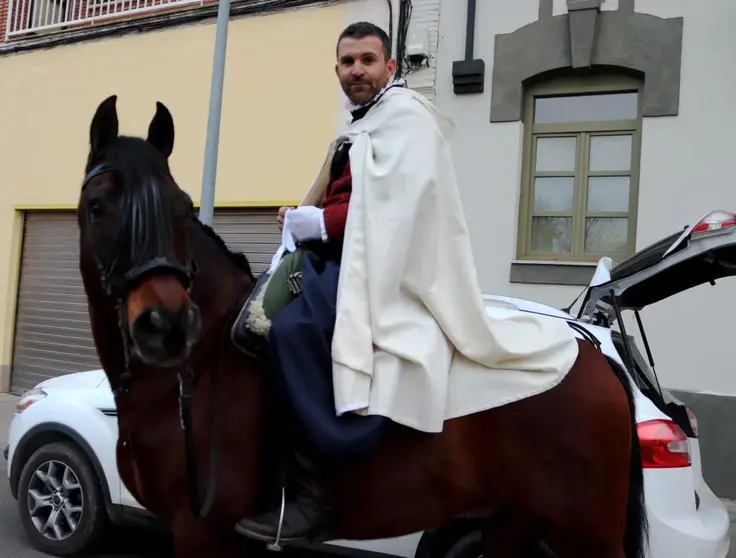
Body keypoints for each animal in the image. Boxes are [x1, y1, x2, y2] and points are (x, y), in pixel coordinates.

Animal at [77, 96, 648, 558]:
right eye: (97, 206)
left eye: (181, 208)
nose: (167, 324)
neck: (194, 369)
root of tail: (595, 356)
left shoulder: (201, 532)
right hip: (512, 523)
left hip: (583, 533)